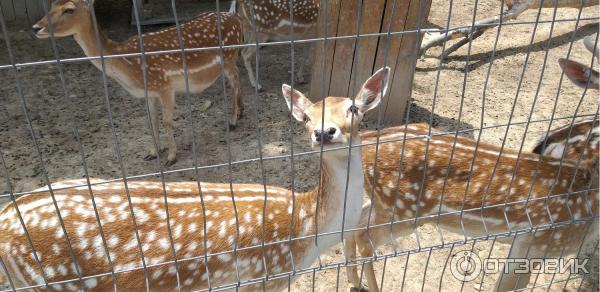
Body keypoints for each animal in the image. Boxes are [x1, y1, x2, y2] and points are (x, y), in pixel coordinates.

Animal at [0, 68, 390, 290]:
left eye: (353, 108)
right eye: (307, 117)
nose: (325, 132)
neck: (305, 232)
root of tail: (6, 216)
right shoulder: (258, 279)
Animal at [31, 0, 244, 165]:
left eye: (69, 9)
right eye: (52, 4)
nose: (36, 27)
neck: (127, 64)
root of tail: (235, 17)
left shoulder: (165, 85)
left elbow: (167, 121)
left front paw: (171, 157)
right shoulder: (150, 92)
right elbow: (151, 120)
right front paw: (153, 152)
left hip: (229, 57)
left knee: (235, 80)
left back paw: (233, 121)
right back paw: (241, 112)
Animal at [344, 37, 596, 290]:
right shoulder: (540, 243)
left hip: (386, 205)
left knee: (356, 224)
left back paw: (355, 281)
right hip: (403, 211)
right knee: (364, 237)